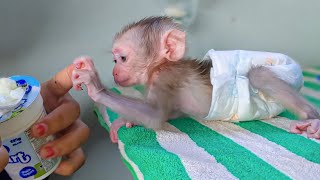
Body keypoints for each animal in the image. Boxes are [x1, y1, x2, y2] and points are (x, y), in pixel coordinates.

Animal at [72, 16, 320, 143]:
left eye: (122, 58)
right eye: (114, 60)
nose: (114, 72)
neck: (158, 68)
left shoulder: (166, 76)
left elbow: (155, 116)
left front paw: (95, 86)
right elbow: (170, 113)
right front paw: (125, 120)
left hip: (285, 72)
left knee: (259, 74)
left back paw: (313, 119)